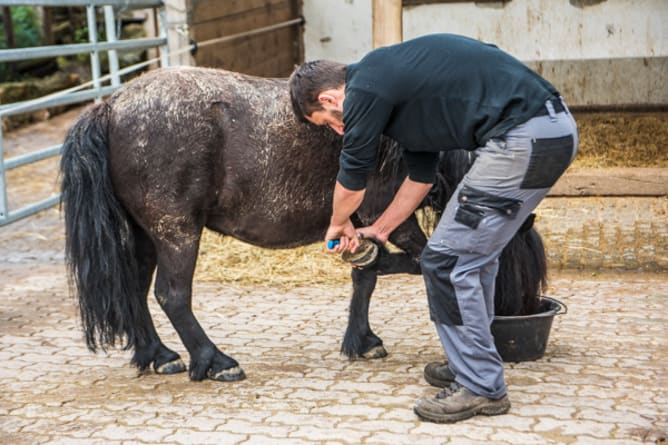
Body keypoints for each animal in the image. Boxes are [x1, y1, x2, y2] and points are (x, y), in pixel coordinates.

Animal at [60, 67, 544, 382]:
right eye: (522, 275)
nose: (524, 320)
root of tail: (110, 107)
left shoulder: (361, 220)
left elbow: (366, 278)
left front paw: (362, 338)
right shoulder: (389, 215)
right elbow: (417, 261)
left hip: (147, 234)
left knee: (136, 291)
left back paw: (157, 355)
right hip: (176, 231)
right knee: (172, 295)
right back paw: (215, 361)